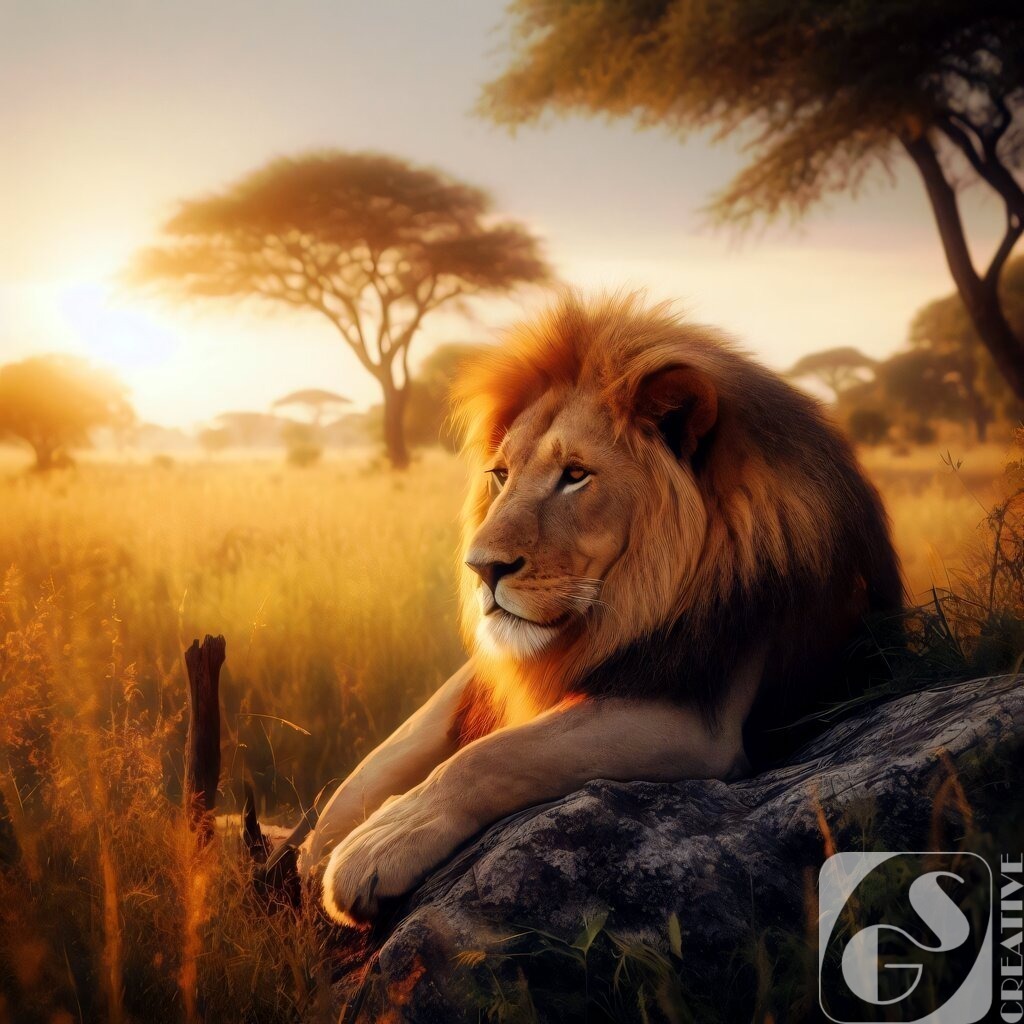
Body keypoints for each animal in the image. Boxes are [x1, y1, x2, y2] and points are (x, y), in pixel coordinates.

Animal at [303, 292, 904, 925]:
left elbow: (490, 755)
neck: (621, 609)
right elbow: (389, 753)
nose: (481, 569)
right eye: (501, 474)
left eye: (575, 475)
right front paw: (320, 844)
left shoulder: (695, 720)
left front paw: (376, 846)